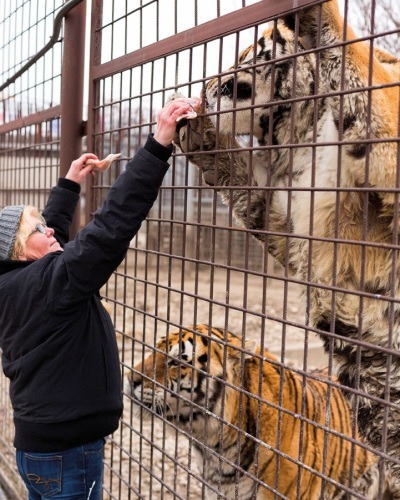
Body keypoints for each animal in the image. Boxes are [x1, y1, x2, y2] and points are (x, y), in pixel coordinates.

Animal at [173, 0, 400, 492]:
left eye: (244, 56)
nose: (202, 88)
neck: (301, 131)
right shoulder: (284, 217)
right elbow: (240, 178)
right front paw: (199, 134)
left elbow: (359, 64)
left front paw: (316, 15)